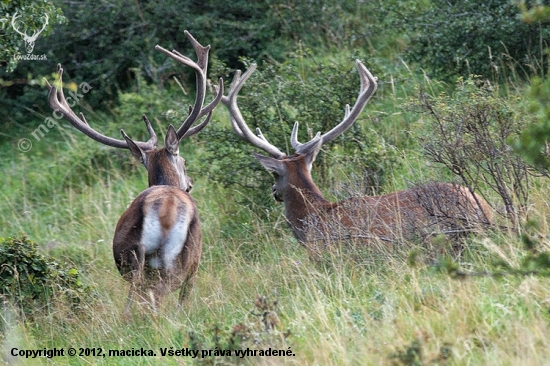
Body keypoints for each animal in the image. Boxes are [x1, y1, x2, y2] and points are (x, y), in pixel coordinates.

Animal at [44, 31, 222, 312]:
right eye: (184, 162)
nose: (191, 183)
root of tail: (166, 209)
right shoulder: (196, 263)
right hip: (181, 257)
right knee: (157, 295)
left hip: (132, 256)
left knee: (136, 296)